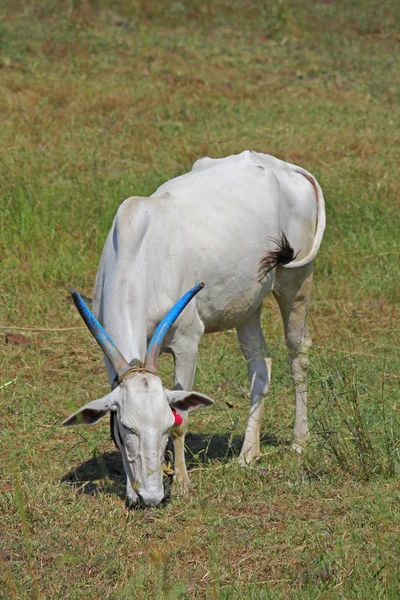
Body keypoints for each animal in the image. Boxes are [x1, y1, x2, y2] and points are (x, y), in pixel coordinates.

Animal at [62, 151, 324, 506]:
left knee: (298, 353)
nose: (151, 495)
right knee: (260, 365)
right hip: (248, 305)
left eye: (164, 423)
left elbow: (183, 421)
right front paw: (131, 490)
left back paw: (299, 442)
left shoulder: (188, 343)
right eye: (127, 428)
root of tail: (281, 166)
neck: (141, 252)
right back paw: (247, 455)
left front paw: (183, 484)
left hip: (296, 280)